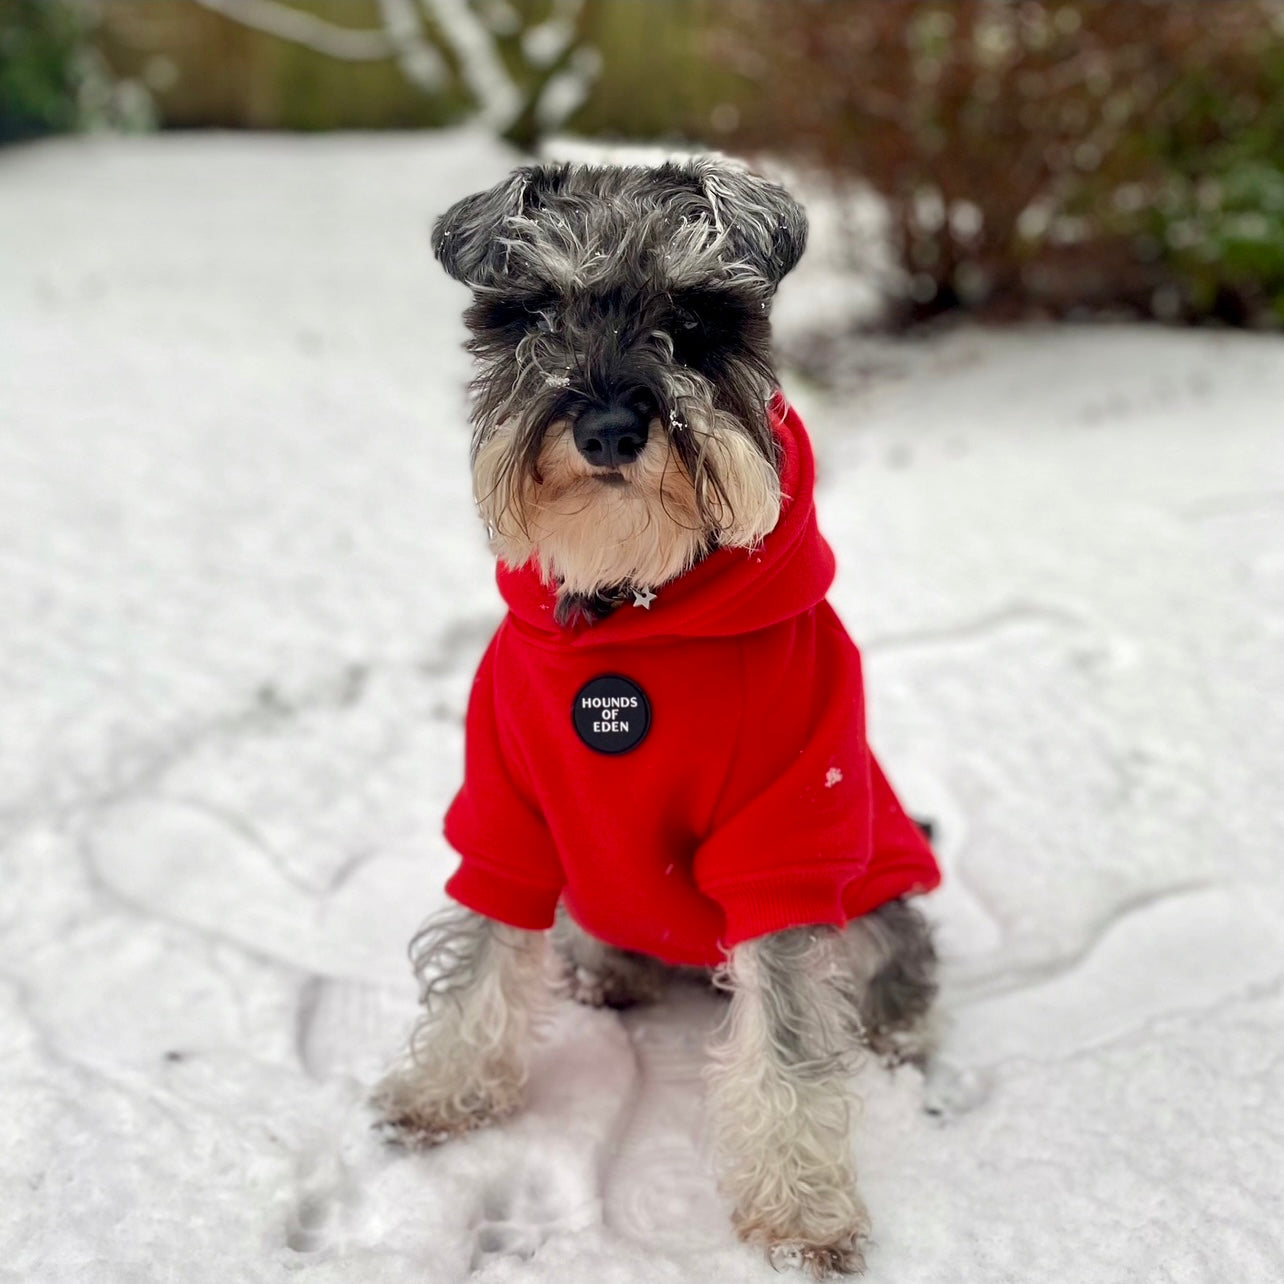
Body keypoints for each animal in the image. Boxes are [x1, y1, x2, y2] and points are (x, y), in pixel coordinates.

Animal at [374, 152, 939, 1273]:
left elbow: (792, 1040)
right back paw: (607, 974)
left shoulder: (785, 843)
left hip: (876, 886)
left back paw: (897, 1030)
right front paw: (441, 1092)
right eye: (534, 309)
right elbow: (478, 958)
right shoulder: (501, 815)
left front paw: (804, 1214)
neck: (629, 608)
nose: (607, 429)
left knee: (898, 959)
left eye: (693, 312)